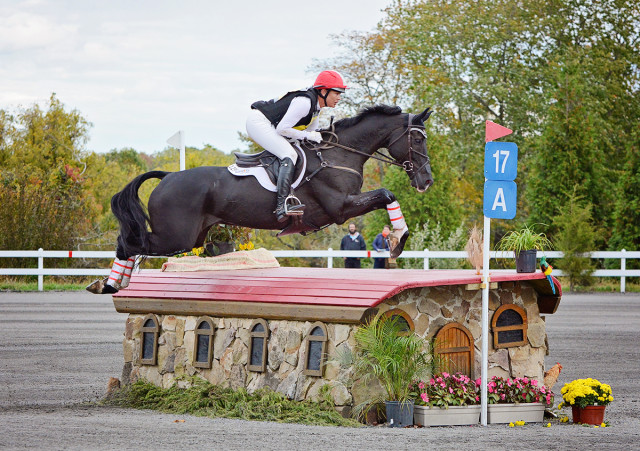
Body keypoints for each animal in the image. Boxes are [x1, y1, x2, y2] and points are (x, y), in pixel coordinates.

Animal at [105, 105, 432, 282]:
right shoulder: (341, 208)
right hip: (177, 237)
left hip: (192, 237)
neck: (338, 153)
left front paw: (396, 240)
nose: (426, 180)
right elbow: (387, 194)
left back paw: (118, 282)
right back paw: (111, 285)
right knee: (128, 243)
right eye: (417, 139)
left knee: (134, 243)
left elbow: (387, 197)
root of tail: (169, 176)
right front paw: (397, 241)